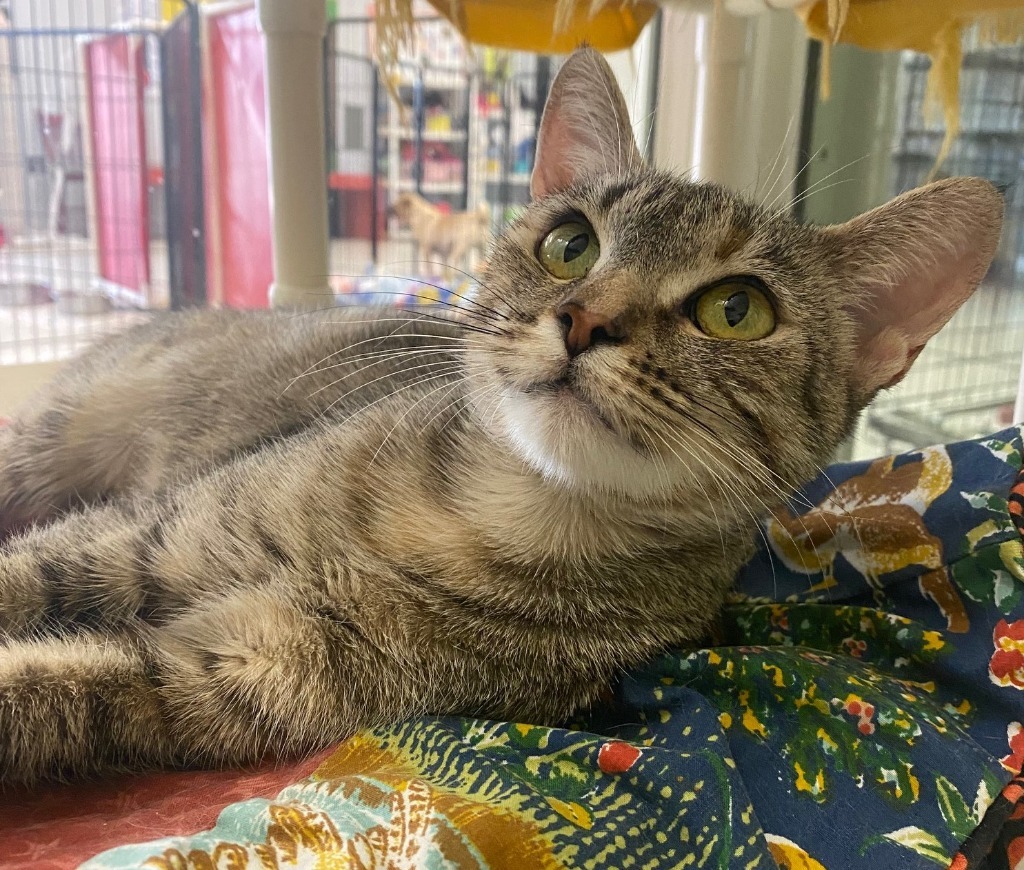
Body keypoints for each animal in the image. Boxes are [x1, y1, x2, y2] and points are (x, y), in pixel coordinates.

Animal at [0, 47, 999, 781]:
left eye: (737, 309)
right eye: (570, 245)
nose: (586, 319)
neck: (487, 514)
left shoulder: (238, 668)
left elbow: (53, 690)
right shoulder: (140, 535)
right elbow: (24, 576)